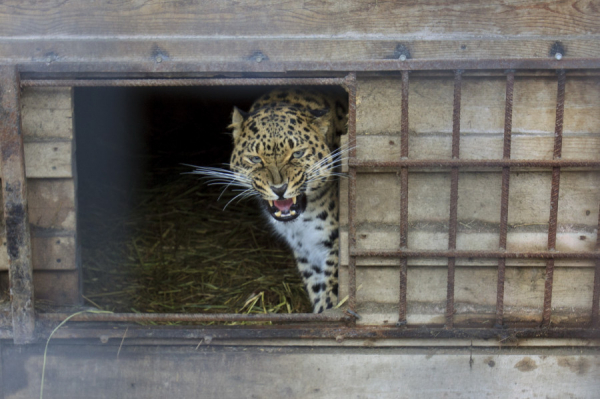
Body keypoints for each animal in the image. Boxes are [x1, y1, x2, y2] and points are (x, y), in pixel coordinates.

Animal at [195, 89, 346, 314]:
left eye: (297, 153)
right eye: (256, 159)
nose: (279, 189)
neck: (302, 223)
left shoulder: (334, 245)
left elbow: (331, 294)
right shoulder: (306, 249)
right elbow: (317, 288)